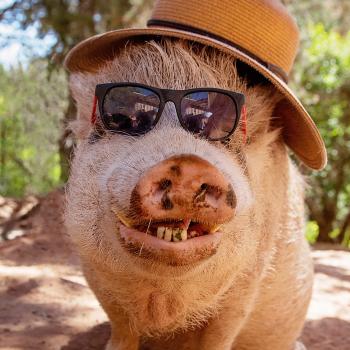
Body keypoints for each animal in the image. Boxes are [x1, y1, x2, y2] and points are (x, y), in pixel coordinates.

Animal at [65, 39, 312, 348]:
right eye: (127, 119)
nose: (188, 164)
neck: (164, 302)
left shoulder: (249, 278)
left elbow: (220, 334)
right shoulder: (92, 267)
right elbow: (121, 325)